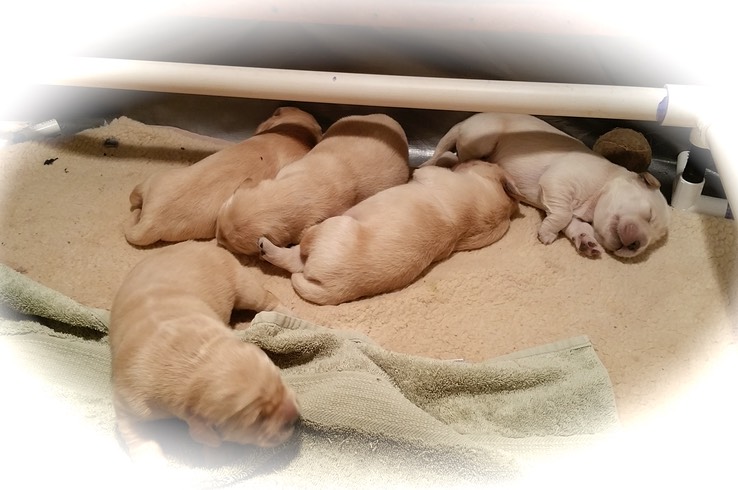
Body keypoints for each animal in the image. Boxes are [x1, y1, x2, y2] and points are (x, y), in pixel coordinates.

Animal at [108, 240, 299, 460]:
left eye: (280, 380)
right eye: (258, 419)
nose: (296, 417)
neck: (191, 358)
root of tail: (202, 243)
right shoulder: (128, 403)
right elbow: (137, 435)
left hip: (242, 283)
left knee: (265, 298)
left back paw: (288, 315)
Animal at [258, 161, 520, 305]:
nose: (466, 158)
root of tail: (335, 289)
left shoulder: (435, 175)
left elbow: (426, 169)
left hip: (333, 227)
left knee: (295, 254)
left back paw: (266, 246)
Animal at [421, 112, 670, 258]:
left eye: (651, 242)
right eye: (649, 215)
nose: (637, 245)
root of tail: (465, 121)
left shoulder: (575, 210)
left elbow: (575, 224)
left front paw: (587, 242)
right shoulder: (558, 180)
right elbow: (561, 214)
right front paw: (547, 233)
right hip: (481, 139)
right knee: (459, 156)